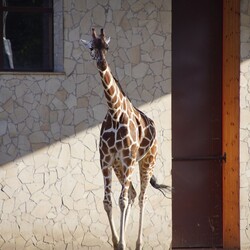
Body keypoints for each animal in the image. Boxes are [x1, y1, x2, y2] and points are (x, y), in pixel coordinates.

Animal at [80, 28, 170, 249]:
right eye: (91, 47)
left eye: (107, 47)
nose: (102, 63)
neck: (114, 112)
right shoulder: (105, 160)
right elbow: (108, 201)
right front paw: (117, 242)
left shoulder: (129, 159)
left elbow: (120, 200)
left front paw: (121, 243)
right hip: (119, 167)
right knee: (132, 194)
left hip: (147, 162)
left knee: (142, 197)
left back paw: (138, 243)